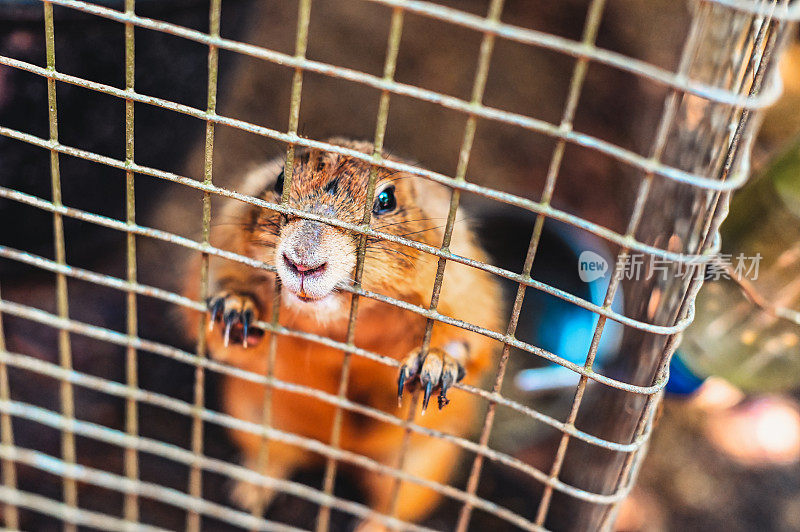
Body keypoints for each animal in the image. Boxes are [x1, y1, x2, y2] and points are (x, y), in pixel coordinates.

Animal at [184, 138, 504, 528]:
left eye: (387, 199)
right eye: (279, 179)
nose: (302, 261)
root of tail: (332, 456)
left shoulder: (465, 293)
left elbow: (468, 344)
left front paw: (433, 365)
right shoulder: (217, 254)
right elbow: (207, 317)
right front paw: (234, 309)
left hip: (417, 468)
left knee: (393, 508)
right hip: (253, 418)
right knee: (274, 459)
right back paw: (250, 492)